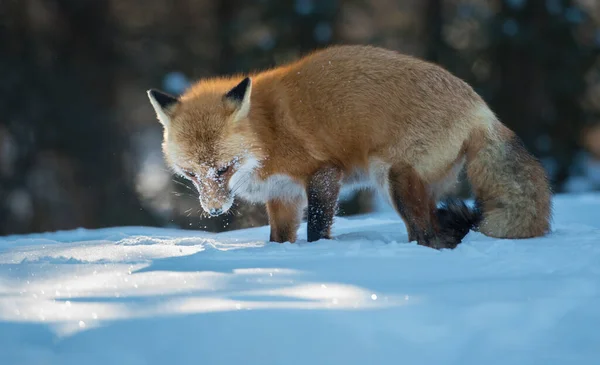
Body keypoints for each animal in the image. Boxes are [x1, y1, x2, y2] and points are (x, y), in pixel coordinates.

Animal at [148, 43, 552, 247]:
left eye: (223, 168)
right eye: (192, 174)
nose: (214, 211)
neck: (266, 135)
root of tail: (481, 107)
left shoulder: (323, 172)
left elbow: (316, 228)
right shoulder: (281, 194)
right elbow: (279, 239)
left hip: (393, 178)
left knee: (427, 234)